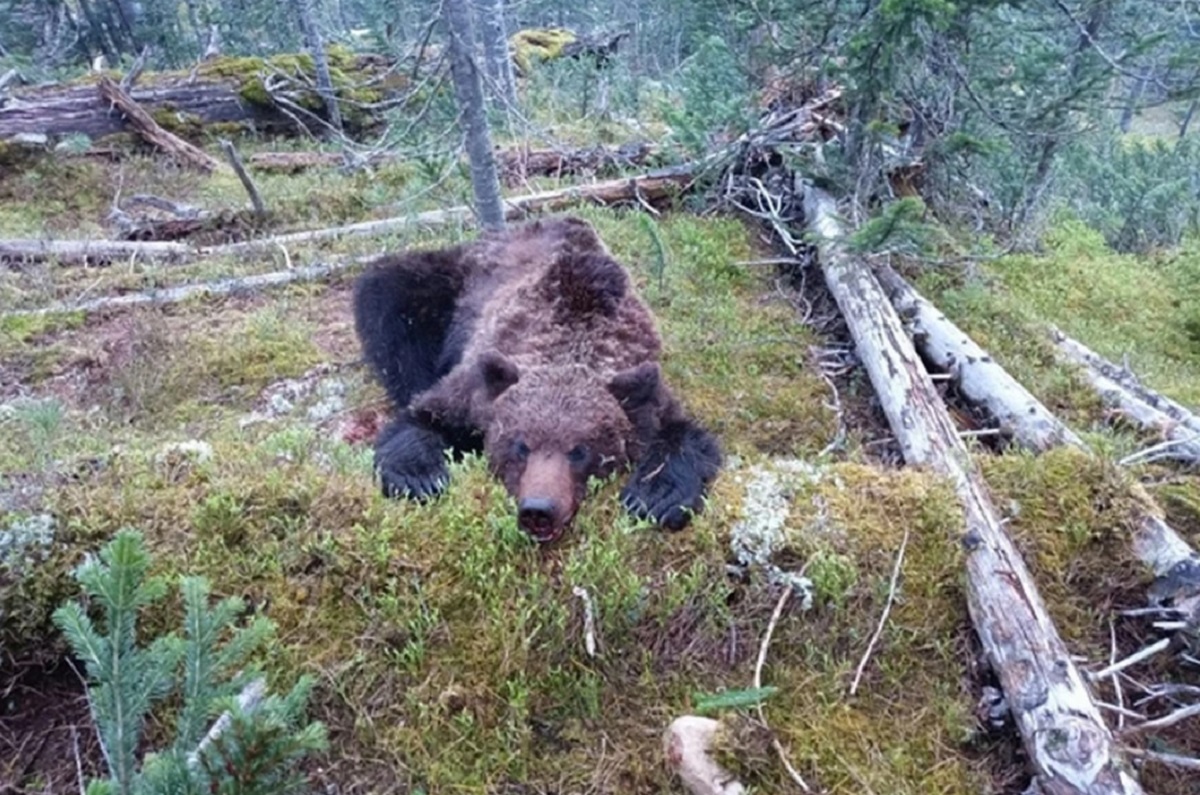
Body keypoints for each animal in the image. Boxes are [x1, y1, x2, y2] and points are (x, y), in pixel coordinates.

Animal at [350, 214, 715, 545]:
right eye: (521, 445)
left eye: (580, 450)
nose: (539, 509)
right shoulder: (476, 385)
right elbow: (423, 416)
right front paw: (420, 477)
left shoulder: (645, 386)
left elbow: (686, 436)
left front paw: (655, 497)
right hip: (449, 284)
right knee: (390, 295)